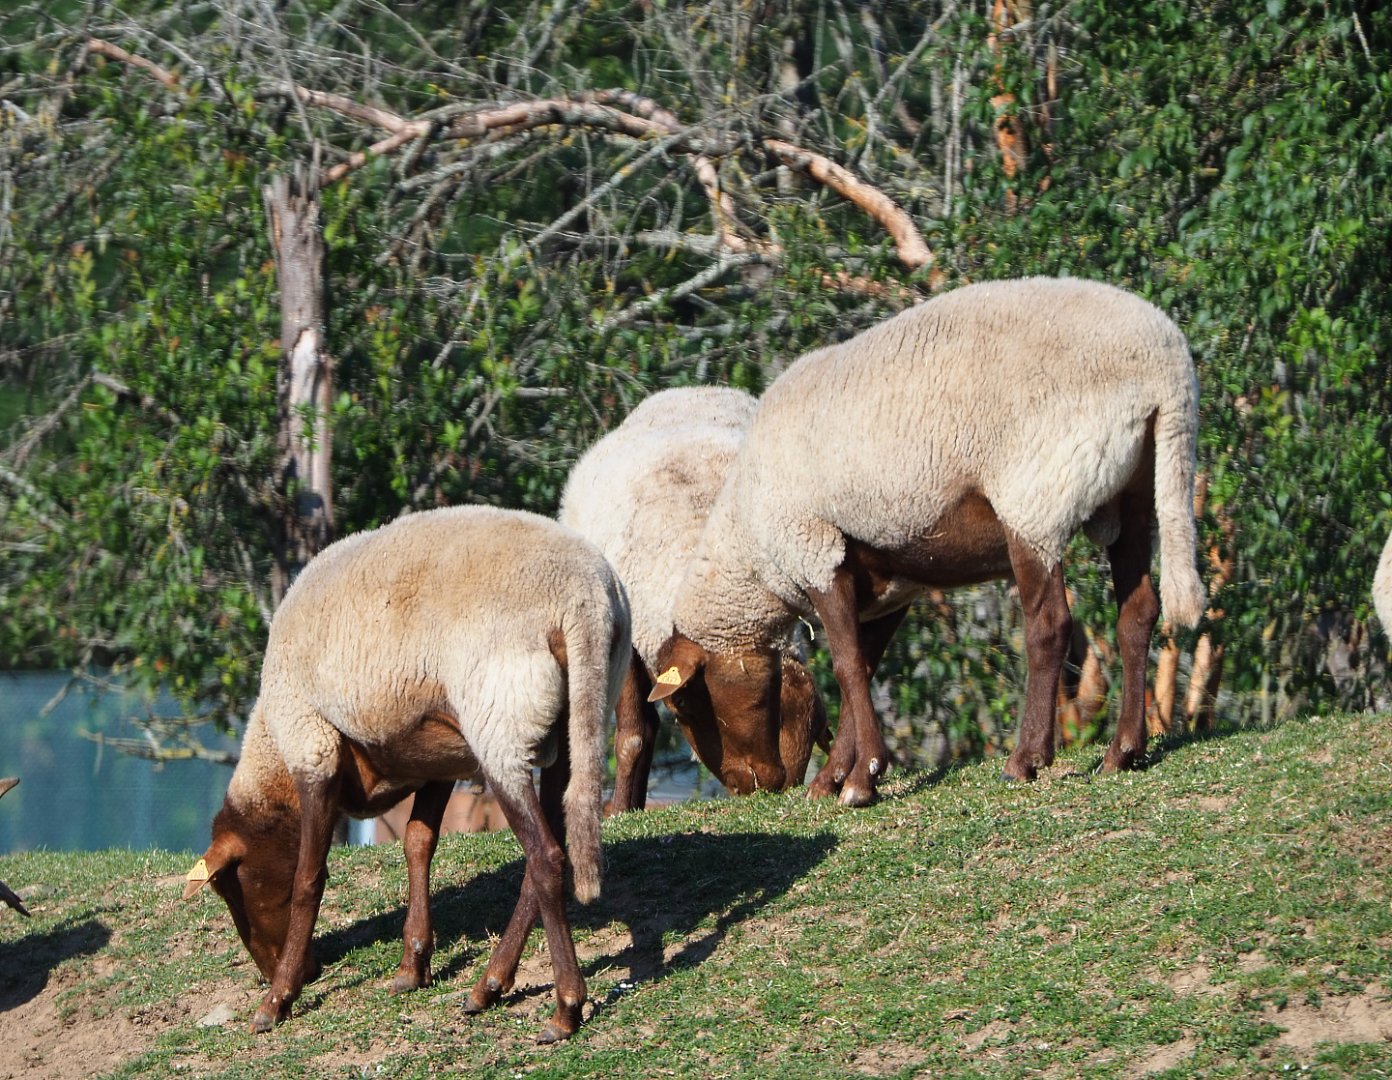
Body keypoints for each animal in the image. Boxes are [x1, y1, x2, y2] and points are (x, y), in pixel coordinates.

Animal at [183, 506, 630, 1043]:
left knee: (544, 857)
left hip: (499, 723)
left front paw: (278, 999)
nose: (308, 969)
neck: (272, 746)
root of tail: (586, 600)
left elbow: (309, 878)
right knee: (549, 852)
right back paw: (489, 986)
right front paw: (412, 966)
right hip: (570, 723)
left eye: (232, 887)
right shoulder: (439, 759)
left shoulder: (314, 746)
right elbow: (418, 843)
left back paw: (564, 1008)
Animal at [650, 277, 1207, 806]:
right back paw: (1123, 752)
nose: (747, 785)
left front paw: (863, 777)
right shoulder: (886, 586)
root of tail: (1167, 368)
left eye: (683, 705)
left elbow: (846, 667)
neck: (750, 551)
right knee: (1138, 613)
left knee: (1050, 626)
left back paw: (1026, 759)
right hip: (1133, 496)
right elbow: (864, 667)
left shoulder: (818, 552)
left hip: (1038, 494)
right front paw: (837, 779)